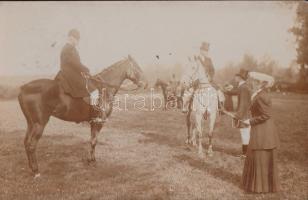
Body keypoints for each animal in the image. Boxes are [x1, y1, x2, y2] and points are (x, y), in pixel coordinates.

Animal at [18, 55, 148, 177]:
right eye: (136, 67)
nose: (146, 83)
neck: (104, 88)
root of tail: (23, 88)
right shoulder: (98, 121)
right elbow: (94, 141)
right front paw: (92, 161)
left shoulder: (92, 121)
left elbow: (92, 140)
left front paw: (91, 160)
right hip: (39, 123)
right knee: (31, 145)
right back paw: (36, 171)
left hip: (31, 123)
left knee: (26, 142)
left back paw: (31, 168)